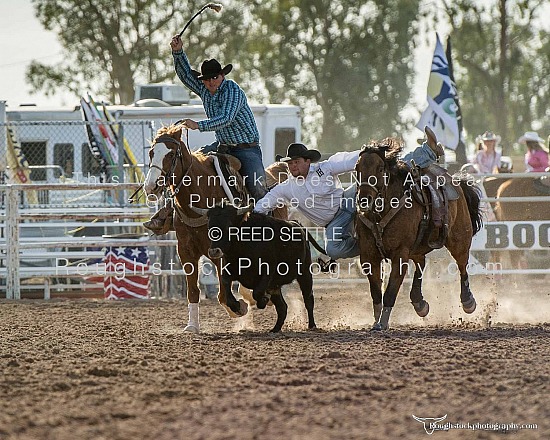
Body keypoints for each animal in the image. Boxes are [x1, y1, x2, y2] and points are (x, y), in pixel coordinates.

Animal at [142, 122, 288, 332]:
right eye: (152, 153)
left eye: (171, 155)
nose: (151, 186)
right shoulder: (185, 251)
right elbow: (193, 290)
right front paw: (192, 325)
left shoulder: (221, 251)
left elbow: (223, 294)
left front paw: (239, 307)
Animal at [358, 138, 484, 330]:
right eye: (357, 168)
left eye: (380, 169)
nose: (364, 200)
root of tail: (456, 182)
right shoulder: (368, 256)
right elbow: (376, 293)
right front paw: (376, 321)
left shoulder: (400, 254)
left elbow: (390, 292)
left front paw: (383, 323)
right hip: (418, 247)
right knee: (421, 264)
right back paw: (419, 303)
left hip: (460, 240)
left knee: (462, 265)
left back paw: (468, 301)